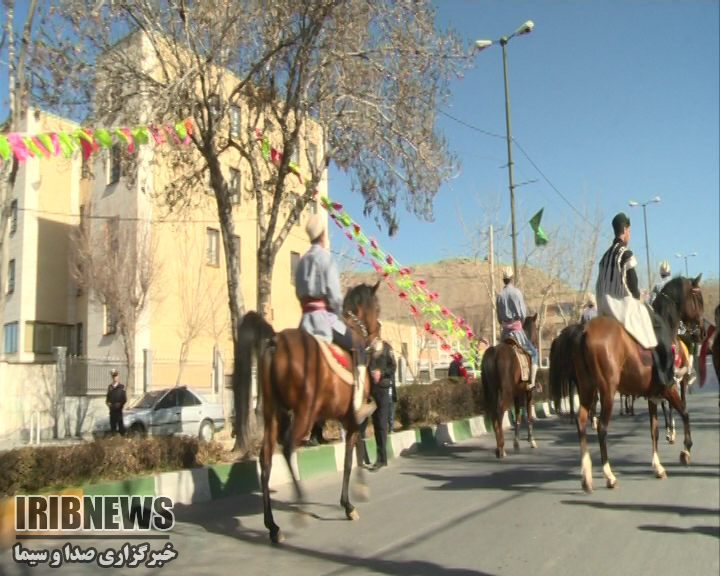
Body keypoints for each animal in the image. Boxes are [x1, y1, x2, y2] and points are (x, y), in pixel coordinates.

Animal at [233, 281, 382, 544]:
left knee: (266, 458)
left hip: (273, 414)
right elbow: (350, 457)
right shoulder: (352, 419)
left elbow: (354, 450)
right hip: (304, 414)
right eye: (378, 307)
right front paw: (351, 502)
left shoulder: (347, 420)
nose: (378, 335)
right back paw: (300, 506)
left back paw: (273, 526)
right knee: (288, 448)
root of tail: (275, 341)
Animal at [481, 313, 540, 458]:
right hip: (505, 392)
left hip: (493, 391)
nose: (536, 344)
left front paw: (516, 442)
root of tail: (493, 351)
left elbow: (518, 416)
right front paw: (531, 440)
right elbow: (529, 415)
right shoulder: (528, 392)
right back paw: (501, 448)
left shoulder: (517, 393)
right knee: (499, 411)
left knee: (493, 412)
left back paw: (498, 447)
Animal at [566, 275, 704, 493]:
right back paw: (609, 476)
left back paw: (586, 477)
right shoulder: (669, 388)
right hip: (606, 390)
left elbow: (654, 429)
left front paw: (658, 467)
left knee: (581, 422)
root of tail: (586, 331)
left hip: (587, 388)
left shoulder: (653, 396)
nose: (701, 331)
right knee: (602, 428)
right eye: (698, 299)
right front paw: (685, 452)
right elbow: (685, 413)